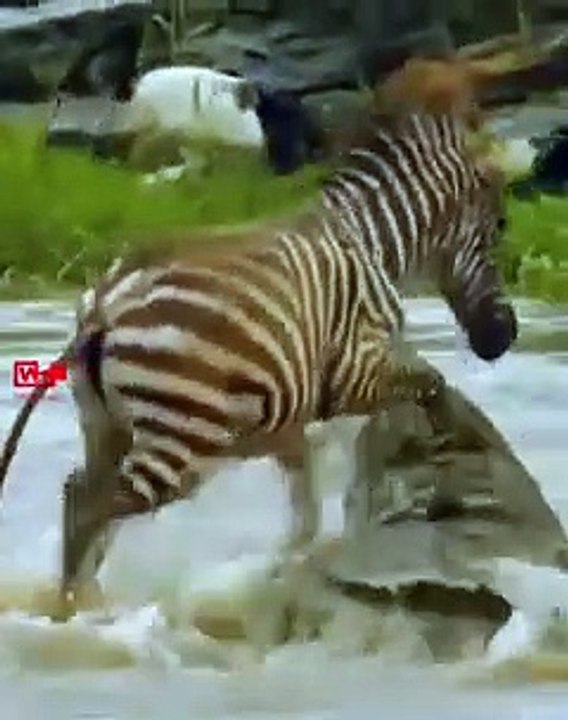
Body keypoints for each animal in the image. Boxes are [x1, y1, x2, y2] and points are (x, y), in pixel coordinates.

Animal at [0, 109, 517, 606]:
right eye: (499, 229)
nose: (504, 337)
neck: (372, 243)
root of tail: (107, 302)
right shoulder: (352, 373)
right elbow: (432, 384)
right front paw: (445, 474)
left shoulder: (286, 428)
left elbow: (307, 518)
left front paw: (281, 572)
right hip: (182, 436)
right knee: (91, 508)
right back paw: (79, 608)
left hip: (107, 426)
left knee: (81, 498)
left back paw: (74, 604)